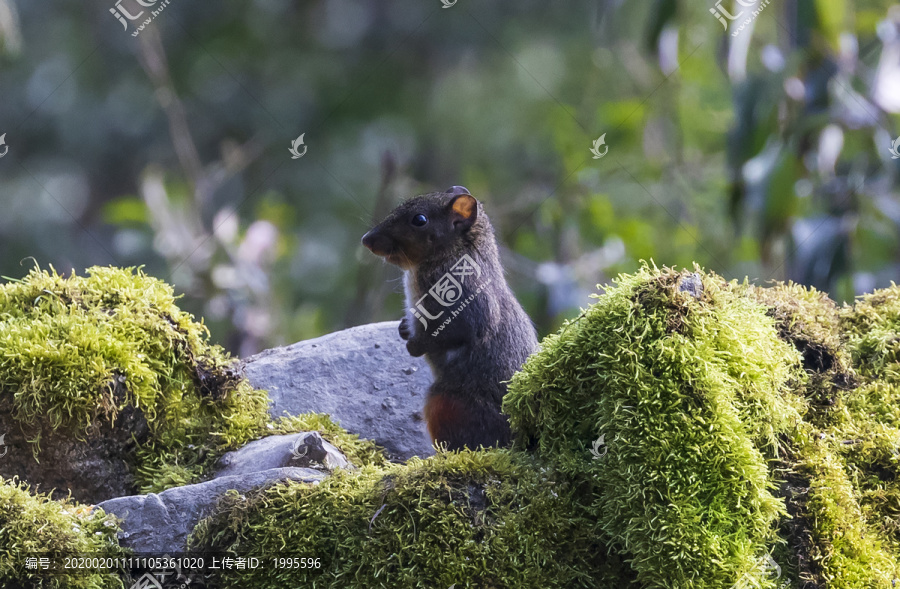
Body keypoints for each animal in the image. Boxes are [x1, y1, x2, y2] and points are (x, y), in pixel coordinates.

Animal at [362, 186, 536, 448]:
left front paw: (415, 345)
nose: (367, 240)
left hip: (447, 405)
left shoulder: (464, 293)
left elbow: (462, 329)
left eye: (420, 220)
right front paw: (404, 328)